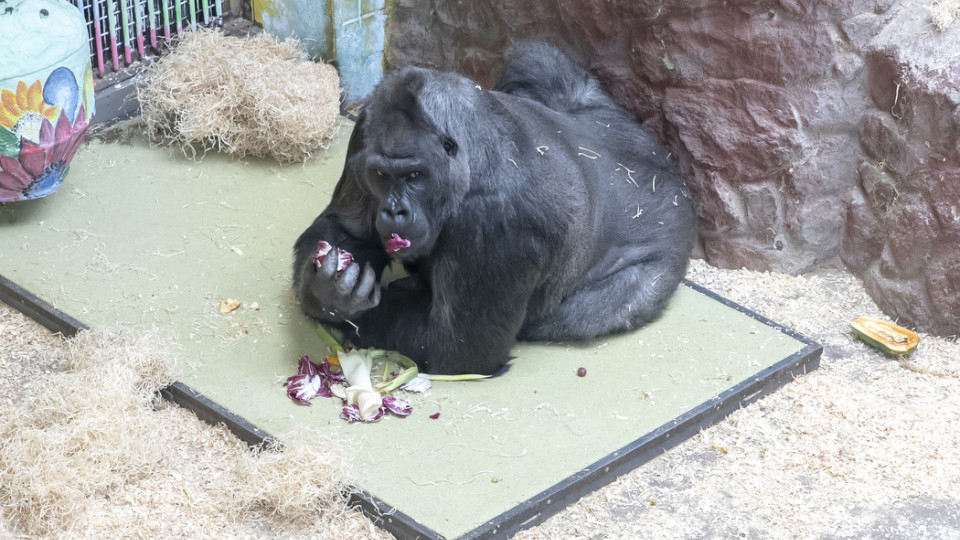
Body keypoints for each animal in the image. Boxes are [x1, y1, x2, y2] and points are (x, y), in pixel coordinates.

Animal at [292, 43, 696, 376]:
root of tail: (677, 185)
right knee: (540, 63)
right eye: (381, 175)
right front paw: (325, 291)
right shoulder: (364, 130)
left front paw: (340, 305)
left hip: (661, 267)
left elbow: (454, 349)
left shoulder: (499, 223)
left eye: (415, 175)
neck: (473, 154)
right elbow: (346, 229)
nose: (394, 213)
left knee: (600, 307)